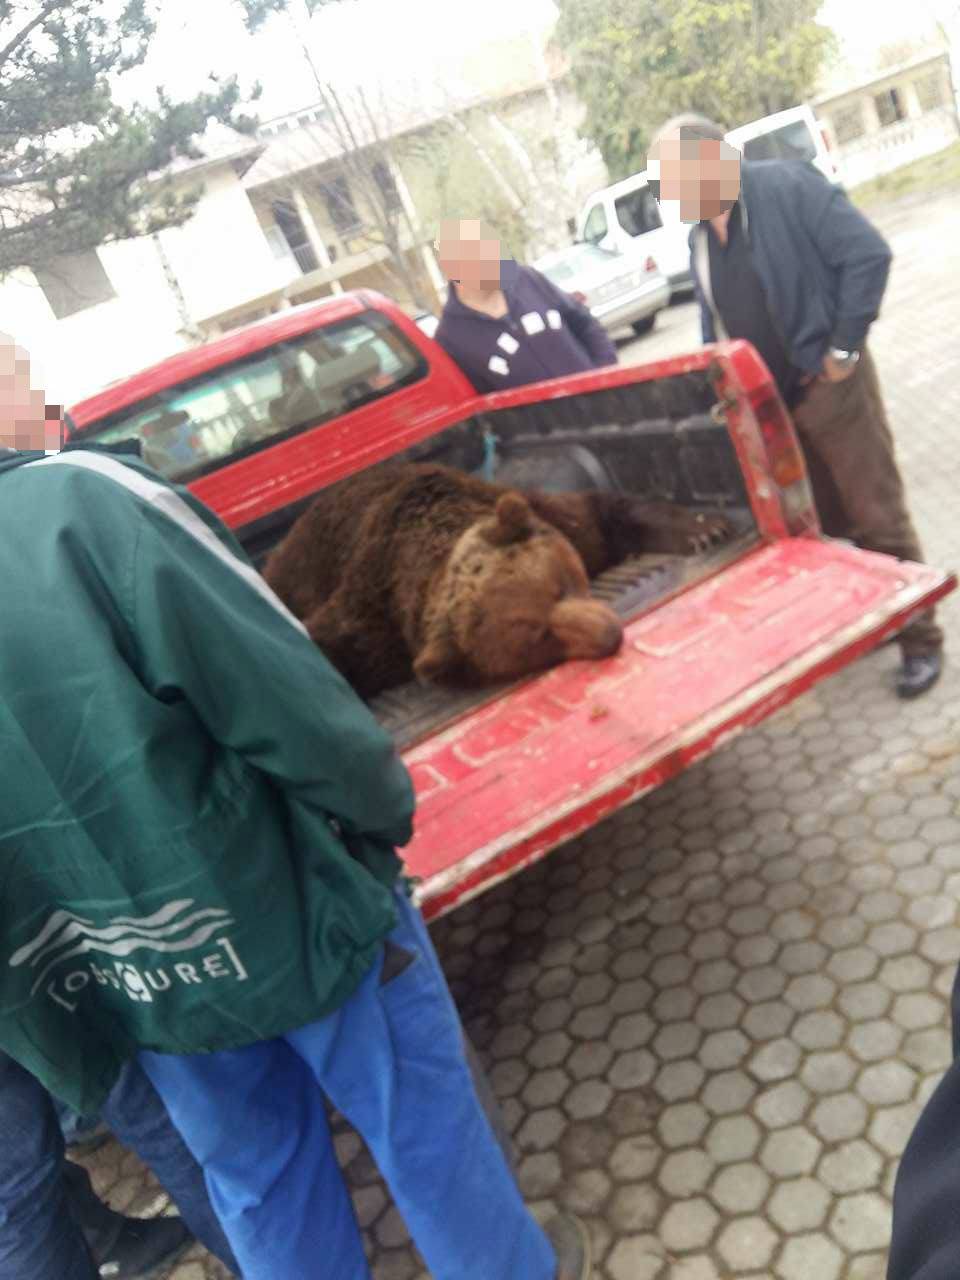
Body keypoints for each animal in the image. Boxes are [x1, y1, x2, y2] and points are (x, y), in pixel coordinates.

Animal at [264, 463, 737, 696]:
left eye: (560, 585)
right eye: (537, 638)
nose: (609, 634)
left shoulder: (542, 514)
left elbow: (601, 512)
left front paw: (704, 528)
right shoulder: (370, 618)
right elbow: (323, 648)